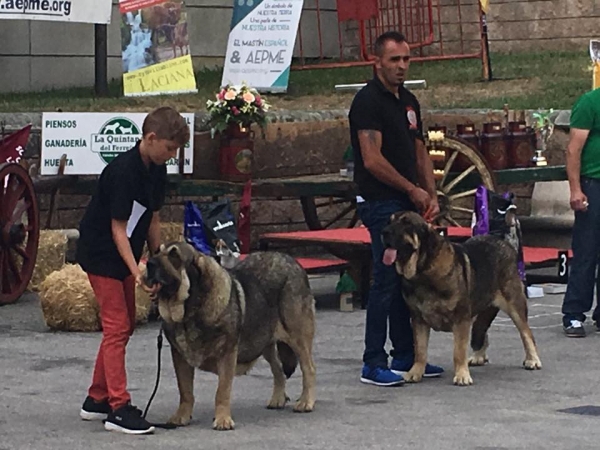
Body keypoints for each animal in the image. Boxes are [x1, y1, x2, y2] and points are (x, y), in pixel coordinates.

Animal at [144, 244, 316, 430]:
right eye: (158, 251)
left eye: (174, 255)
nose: (149, 264)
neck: (190, 311)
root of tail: (293, 261)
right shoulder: (180, 357)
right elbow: (185, 390)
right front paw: (181, 416)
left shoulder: (226, 354)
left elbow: (222, 391)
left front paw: (222, 420)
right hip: (263, 340)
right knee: (278, 369)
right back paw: (277, 399)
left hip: (298, 336)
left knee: (308, 368)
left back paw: (306, 402)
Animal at [380, 213, 544, 384]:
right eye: (390, 221)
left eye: (407, 224)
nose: (384, 232)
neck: (423, 269)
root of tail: (504, 242)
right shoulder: (418, 320)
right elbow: (420, 350)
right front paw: (415, 372)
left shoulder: (461, 318)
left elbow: (458, 351)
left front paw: (462, 376)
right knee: (481, 330)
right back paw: (478, 356)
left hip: (514, 303)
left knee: (526, 333)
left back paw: (532, 360)